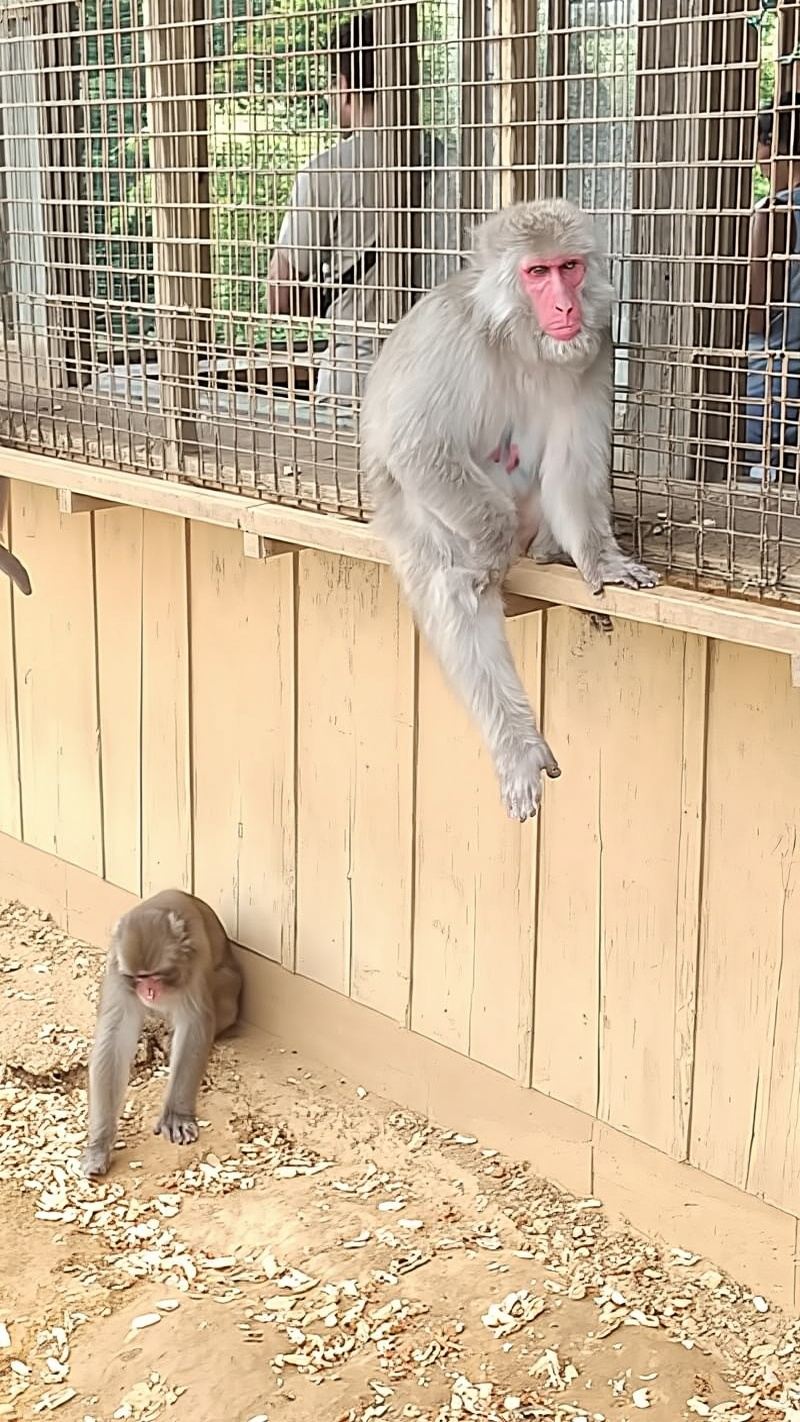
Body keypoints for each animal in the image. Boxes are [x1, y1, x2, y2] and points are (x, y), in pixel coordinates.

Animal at [82, 890, 242, 1178]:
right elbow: (113, 1039)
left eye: (155, 975)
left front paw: (176, 1114)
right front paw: (99, 1143)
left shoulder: (194, 958)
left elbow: (195, 1023)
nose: (149, 992)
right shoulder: (116, 966)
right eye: (138, 977)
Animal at [360, 198, 657, 823]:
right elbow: (416, 445)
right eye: (537, 273)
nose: (565, 305)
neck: (521, 340)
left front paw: (601, 558)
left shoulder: (597, 340)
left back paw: (549, 551)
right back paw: (517, 749)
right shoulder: (453, 337)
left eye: (570, 266)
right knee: (453, 582)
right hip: (419, 519)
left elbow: (574, 467)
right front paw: (493, 546)